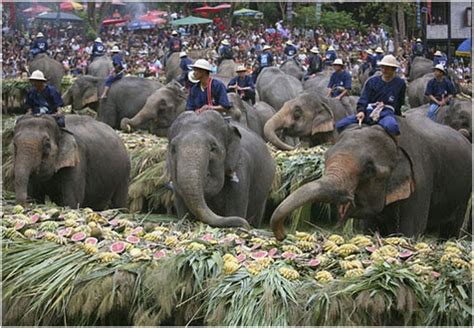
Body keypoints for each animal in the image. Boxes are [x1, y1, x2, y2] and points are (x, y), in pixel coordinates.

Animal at [270, 111, 470, 240]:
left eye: (369, 169)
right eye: (325, 158)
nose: (284, 235)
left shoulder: (421, 182)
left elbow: (410, 231)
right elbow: (369, 228)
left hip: (464, 192)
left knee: (451, 228)